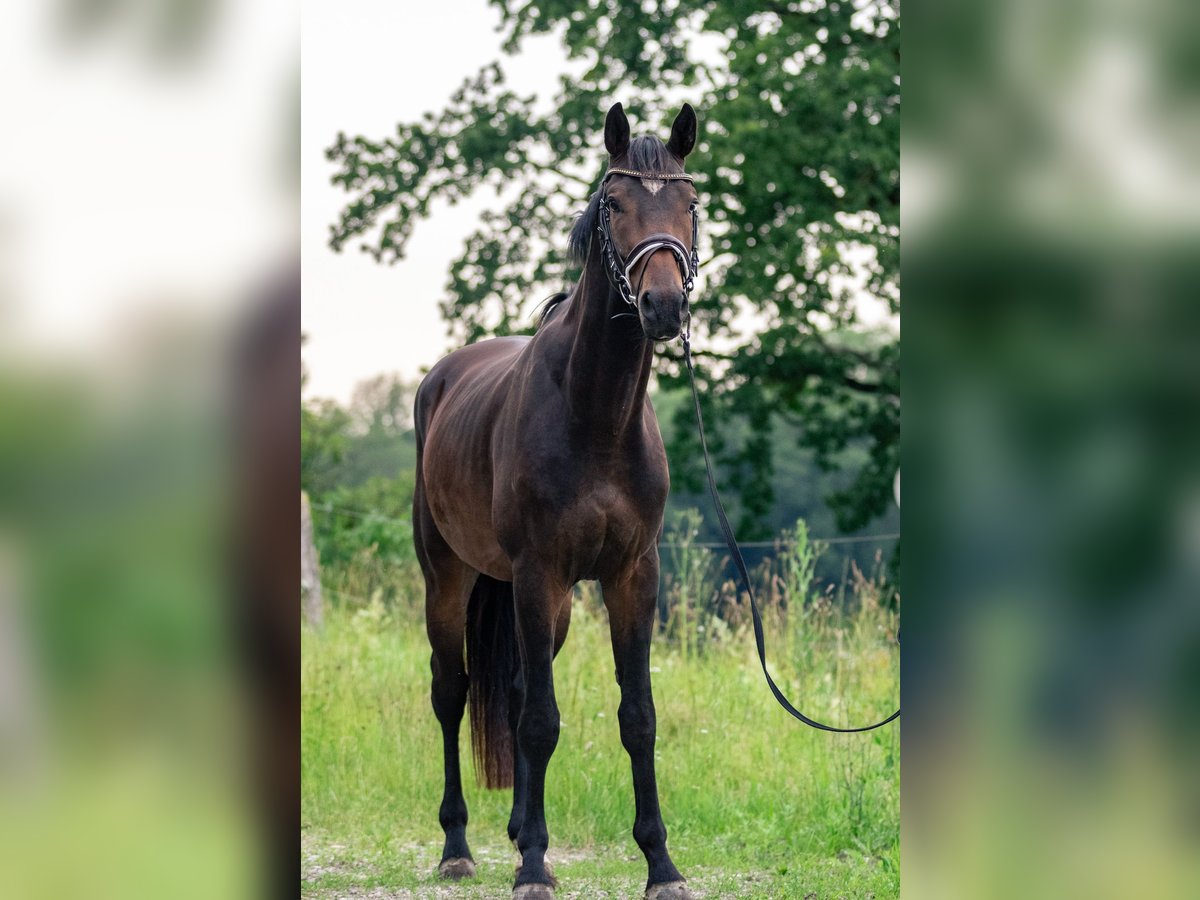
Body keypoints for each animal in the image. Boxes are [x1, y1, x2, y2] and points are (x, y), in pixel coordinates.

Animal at [412, 102, 700, 897]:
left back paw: (514, 834)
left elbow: (637, 716)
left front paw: (660, 864)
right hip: (451, 580)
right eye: (614, 203)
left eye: (691, 202)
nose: (663, 304)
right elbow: (542, 721)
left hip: (550, 601)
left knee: (510, 692)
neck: (594, 415)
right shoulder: (538, 571)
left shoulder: (631, 575)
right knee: (453, 692)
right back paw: (459, 846)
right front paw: (536, 867)